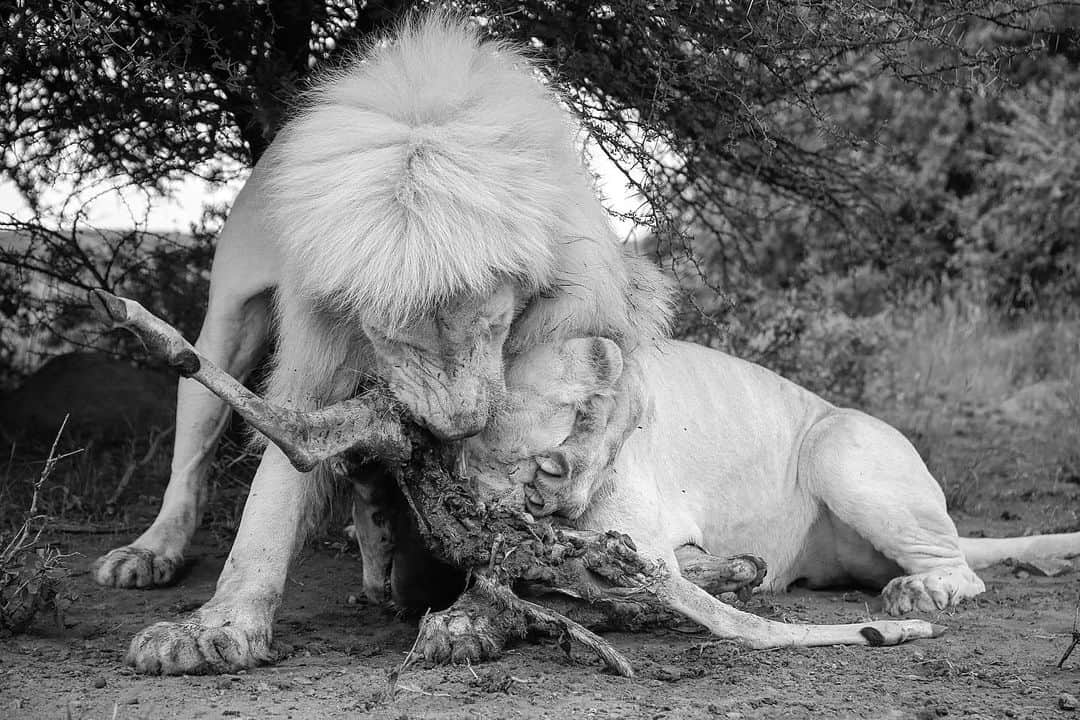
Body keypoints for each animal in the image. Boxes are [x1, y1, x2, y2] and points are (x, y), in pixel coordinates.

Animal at [116, 16, 673, 677]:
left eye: (493, 325)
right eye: (393, 338)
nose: (457, 427)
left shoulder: (598, 304)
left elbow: (608, 411)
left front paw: (486, 602)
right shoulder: (317, 354)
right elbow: (272, 499)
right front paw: (216, 628)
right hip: (227, 318)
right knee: (197, 431)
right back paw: (154, 549)